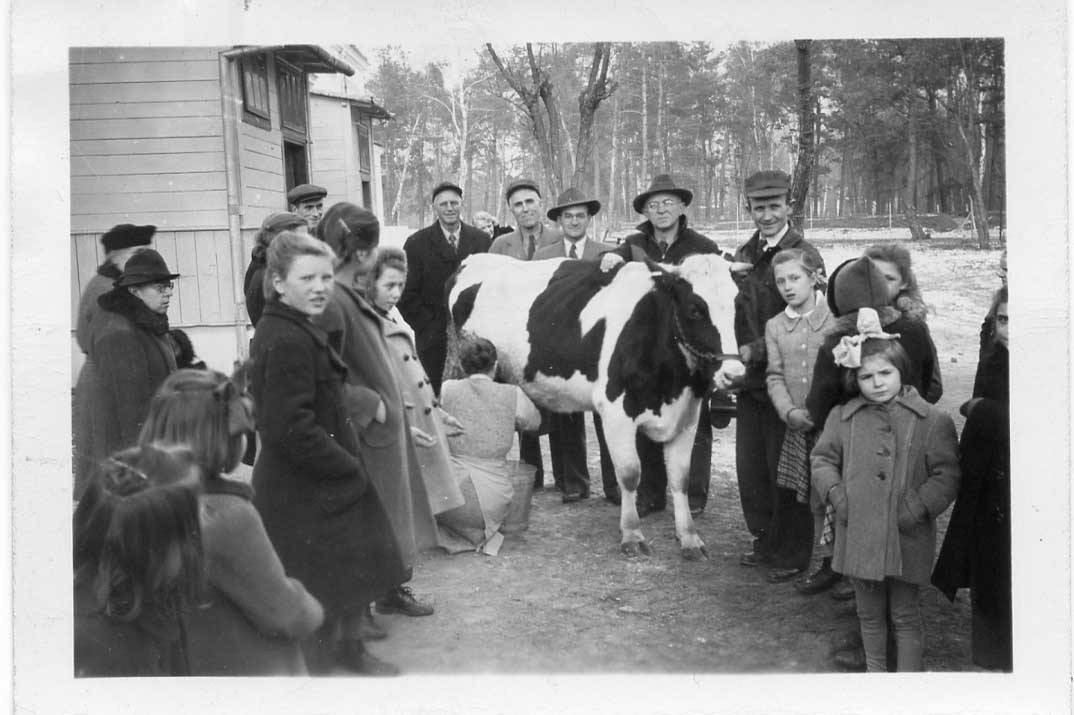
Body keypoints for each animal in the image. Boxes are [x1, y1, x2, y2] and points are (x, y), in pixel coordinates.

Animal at [448, 253, 743, 558]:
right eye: (695, 309)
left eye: (737, 305)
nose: (734, 374)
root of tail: (476, 258)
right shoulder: (615, 411)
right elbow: (630, 474)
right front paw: (632, 534)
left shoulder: (688, 414)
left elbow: (680, 478)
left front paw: (689, 538)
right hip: (460, 366)